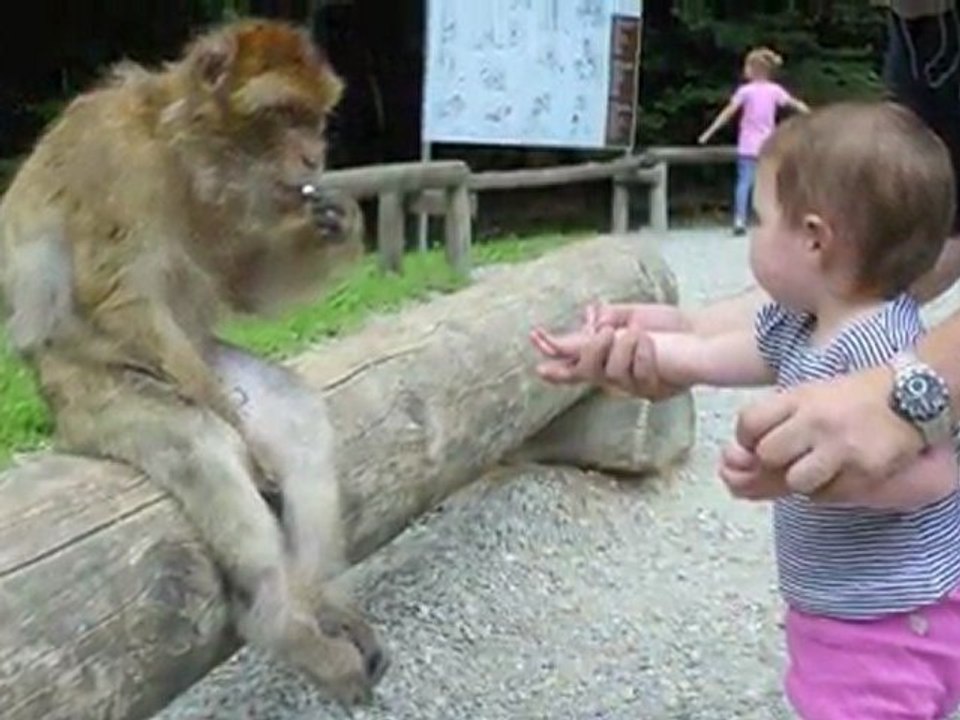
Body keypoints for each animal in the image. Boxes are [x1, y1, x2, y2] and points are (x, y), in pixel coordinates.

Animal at [0, 18, 388, 704]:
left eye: (314, 118)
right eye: (282, 115)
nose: (313, 158)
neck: (179, 150)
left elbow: (244, 284)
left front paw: (340, 221)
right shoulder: (114, 160)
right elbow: (118, 293)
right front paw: (236, 434)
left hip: (202, 355)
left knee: (296, 420)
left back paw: (318, 601)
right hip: (95, 397)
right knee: (201, 447)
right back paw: (282, 621)